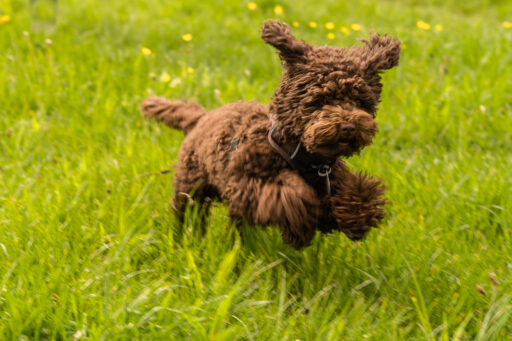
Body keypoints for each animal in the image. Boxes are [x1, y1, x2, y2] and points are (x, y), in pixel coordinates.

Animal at [140, 20, 400, 247]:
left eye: (360, 101)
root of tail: (202, 117)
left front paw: (356, 218)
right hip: (191, 186)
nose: (348, 126)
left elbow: (355, 191)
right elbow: (290, 195)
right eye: (320, 99)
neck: (303, 157)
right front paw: (300, 229)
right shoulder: (246, 183)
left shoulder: (331, 179)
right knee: (189, 212)